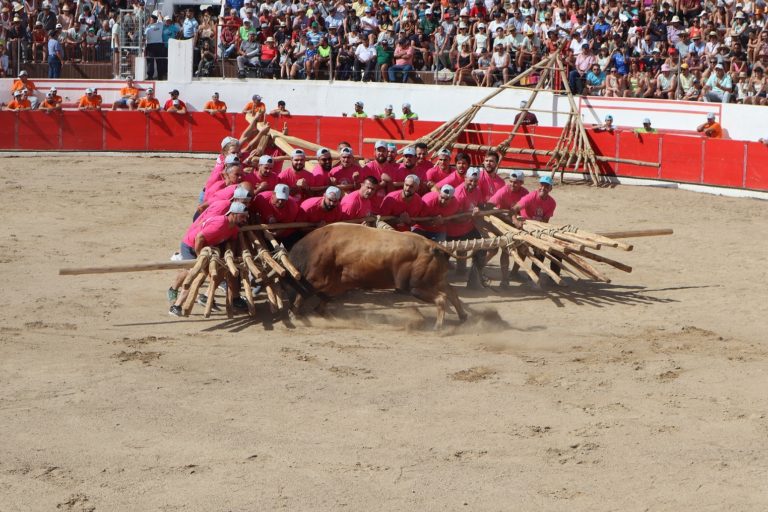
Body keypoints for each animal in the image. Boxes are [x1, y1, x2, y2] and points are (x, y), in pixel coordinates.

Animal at [288, 223, 468, 328]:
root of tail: (433, 246)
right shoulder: (335, 284)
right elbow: (324, 297)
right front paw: (320, 312)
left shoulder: (317, 279)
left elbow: (302, 294)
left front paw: (294, 314)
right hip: (435, 280)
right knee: (452, 292)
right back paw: (463, 317)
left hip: (416, 286)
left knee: (441, 298)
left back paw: (438, 326)